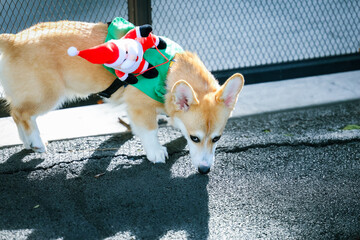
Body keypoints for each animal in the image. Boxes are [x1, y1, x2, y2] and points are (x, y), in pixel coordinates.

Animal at [0, 20, 243, 174]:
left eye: (217, 139)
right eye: (195, 138)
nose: (204, 170)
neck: (169, 69)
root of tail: (12, 40)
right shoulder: (140, 108)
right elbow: (150, 131)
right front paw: (156, 152)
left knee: (17, 114)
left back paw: (28, 143)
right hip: (48, 95)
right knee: (20, 113)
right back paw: (36, 142)